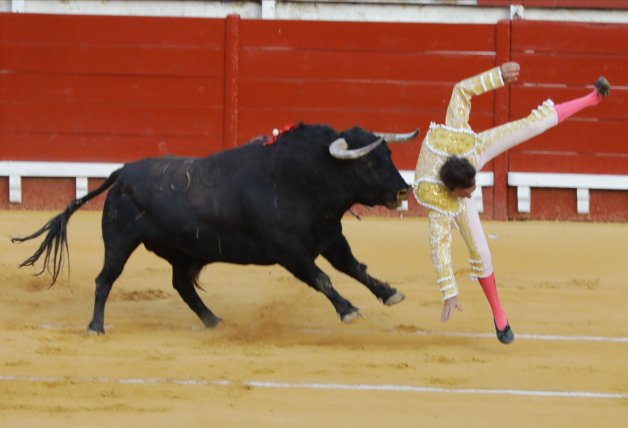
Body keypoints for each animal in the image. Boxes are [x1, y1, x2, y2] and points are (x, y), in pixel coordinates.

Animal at [11, 123, 418, 334]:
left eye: (389, 155)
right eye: (367, 163)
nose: (402, 190)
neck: (300, 178)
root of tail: (123, 173)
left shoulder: (330, 237)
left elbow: (356, 268)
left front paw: (389, 293)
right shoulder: (290, 252)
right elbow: (323, 279)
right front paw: (348, 310)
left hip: (182, 251)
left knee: (181, 284)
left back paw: (213, 320)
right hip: (120, 241)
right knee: (104, 280)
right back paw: (96, 326)